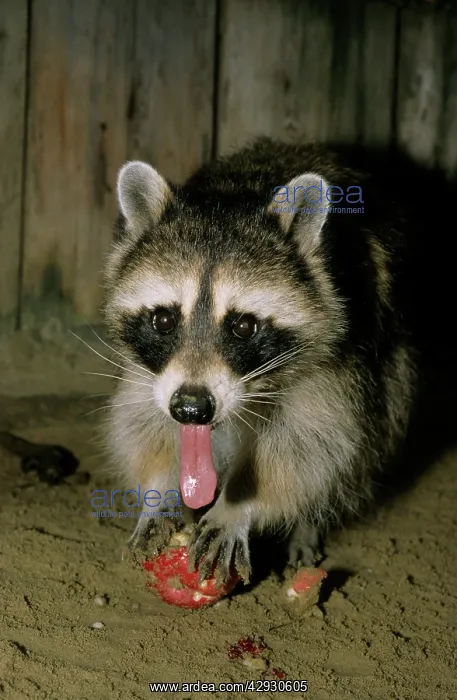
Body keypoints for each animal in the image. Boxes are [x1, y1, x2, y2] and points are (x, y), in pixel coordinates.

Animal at [102, 137, 420, 585]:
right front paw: (159, 490)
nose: (192, 409)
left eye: (243, 326)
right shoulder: (151, 373)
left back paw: (308, 524)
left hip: (393, 372)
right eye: (164, 320)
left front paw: (237, 506)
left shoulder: (337, 360)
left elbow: (311, 443)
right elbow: (142, 421)